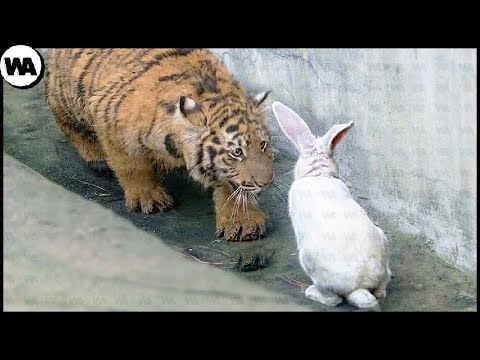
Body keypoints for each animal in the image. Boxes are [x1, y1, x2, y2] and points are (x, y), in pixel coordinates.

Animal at [272, 101, 392, 310]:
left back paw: (311, 292)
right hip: (382, 244)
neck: (318, 174)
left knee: (333, 300)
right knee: (381, 290)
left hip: (309, 259)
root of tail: (360, 286)